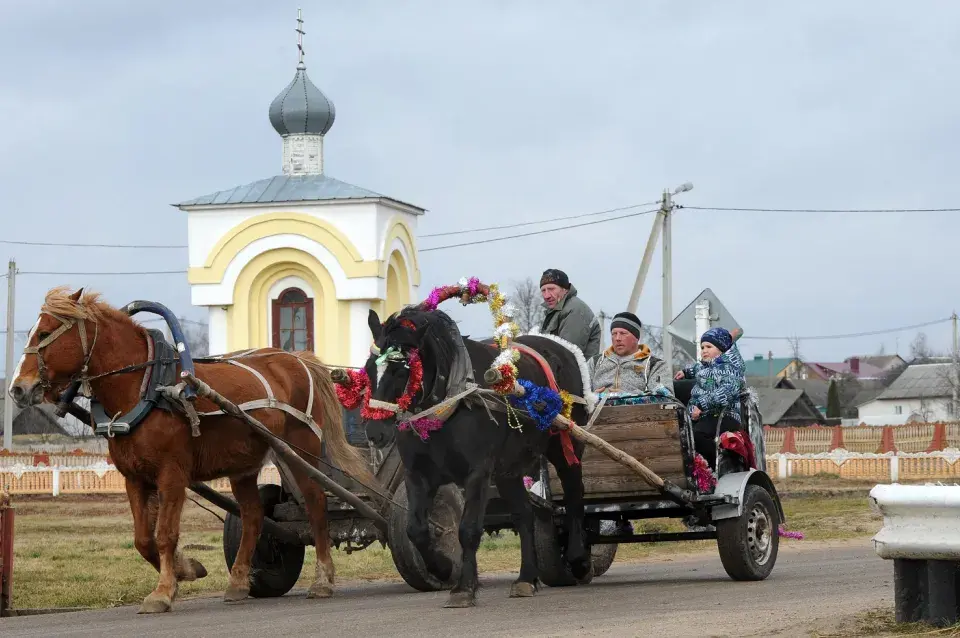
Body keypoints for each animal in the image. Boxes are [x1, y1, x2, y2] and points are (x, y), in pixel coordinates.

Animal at [7, 290, 376, 616]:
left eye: (44, 333)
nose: (18, 388)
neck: (147, 387)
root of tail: (298, 359)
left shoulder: (172, 475)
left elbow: (165, 535)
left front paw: (162, 593)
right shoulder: (134, 478)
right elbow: (143, 539)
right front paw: (186, 570)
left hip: (301, 453)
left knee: (315, 505)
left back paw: (323, 580)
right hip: (244, 465)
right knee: (254, 516)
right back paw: (239, 582)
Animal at [364, 308, 592, 608]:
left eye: (401, 370)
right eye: (369, 368)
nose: (374, 431)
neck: (449, 403)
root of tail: (561, 348)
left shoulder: (477, 473)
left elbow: (468, 529)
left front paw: (464, 587)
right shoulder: (418, 475)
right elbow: (416, 529)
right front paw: (442, 567)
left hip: (565, 445)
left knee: (575, 494)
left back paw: (578, 558)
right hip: (509, 470)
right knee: (524, 515)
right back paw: (526, 578)